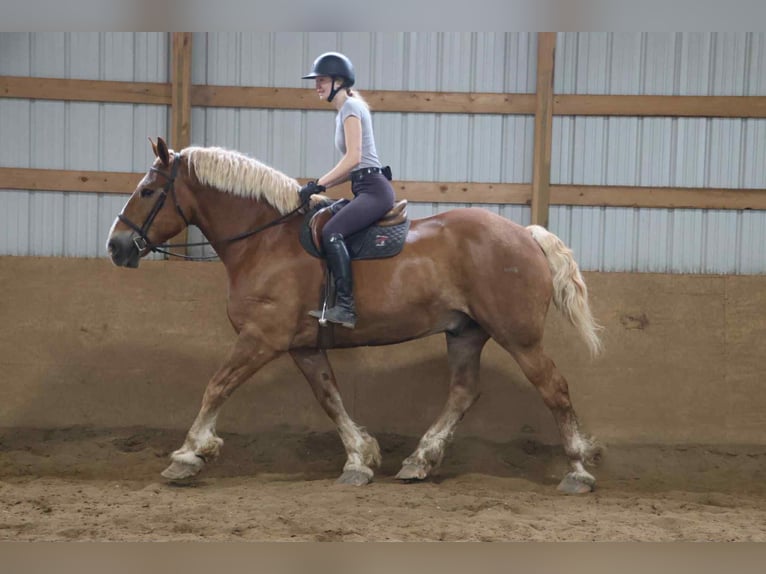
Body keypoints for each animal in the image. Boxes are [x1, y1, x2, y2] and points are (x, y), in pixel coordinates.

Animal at [107, 136, 604, 494]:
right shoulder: (303, 347)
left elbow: (217, 386)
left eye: (147, 191)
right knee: (463, 392)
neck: (265, 241)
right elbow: (330, 398)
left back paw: (578, 470)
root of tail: (526, 233)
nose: (116, 246)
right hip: (465, 332)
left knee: (554, 389)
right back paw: (419, 461)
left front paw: (188, 456)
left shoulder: (261, 338)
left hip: (519, 336)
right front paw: (359, 460)